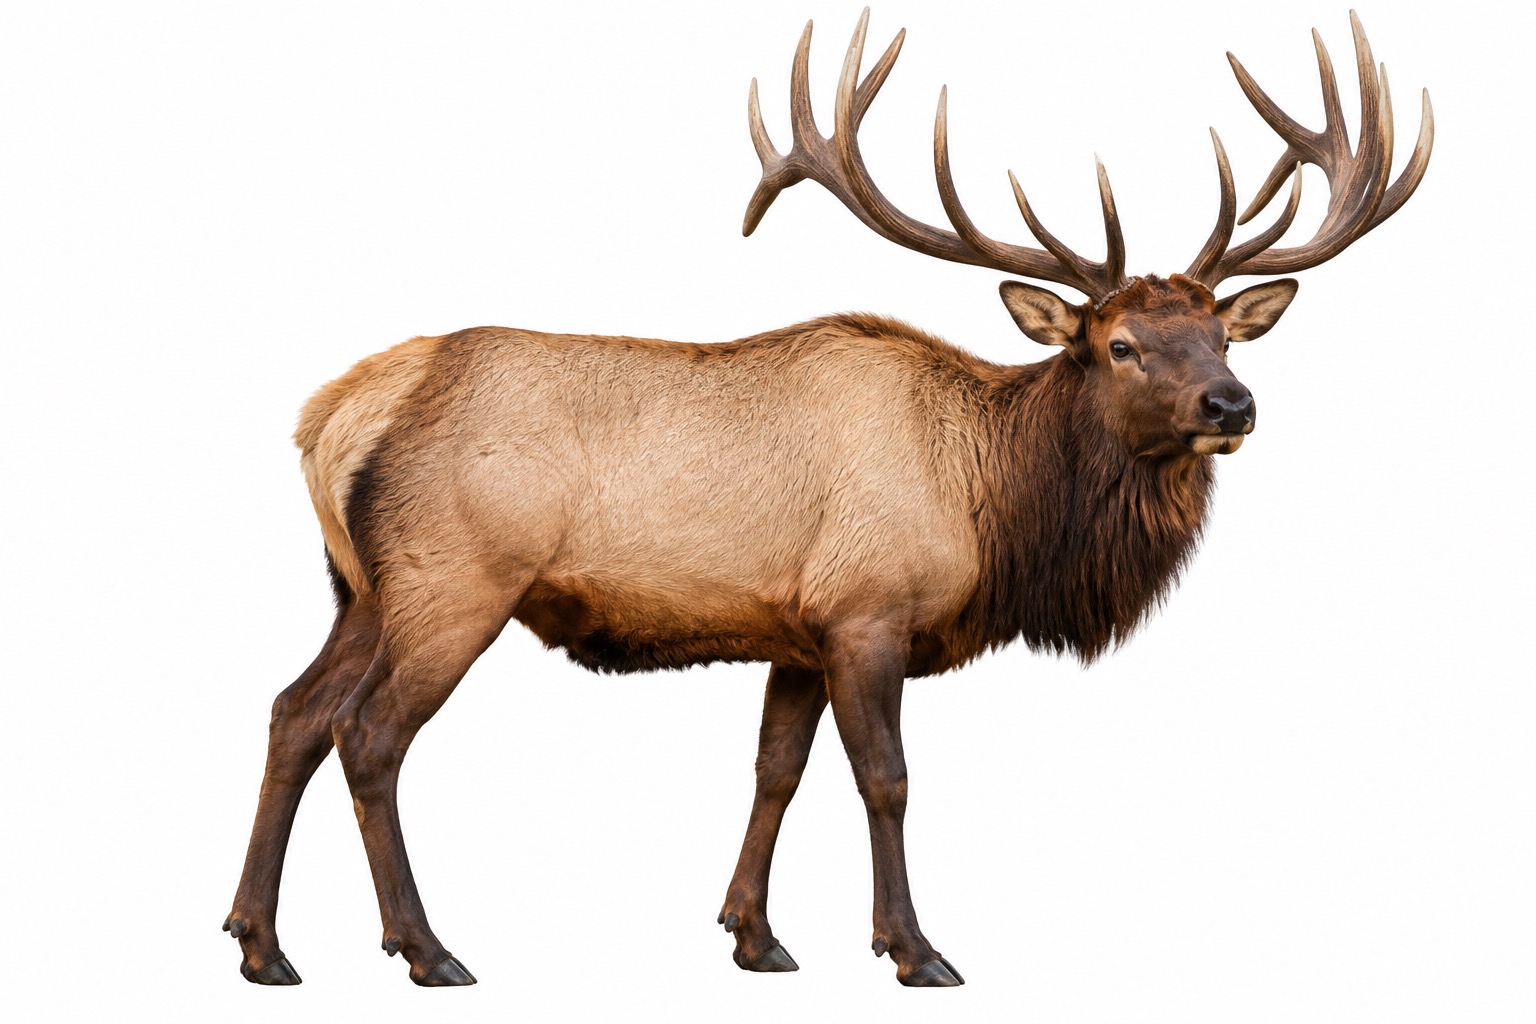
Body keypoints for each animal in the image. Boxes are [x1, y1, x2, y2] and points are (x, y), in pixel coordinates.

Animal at [225, 8, 1432, 988]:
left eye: (1224, 334)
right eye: (1121, 344)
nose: (1232, 403)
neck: (997, 512)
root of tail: (335, 412)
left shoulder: (793, 634)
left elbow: (776, 773)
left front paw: (755, 936)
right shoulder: (866, 611)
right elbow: (885, 779)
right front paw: (914, 947)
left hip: (359, 586)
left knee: (293, 711)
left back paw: (261, 942)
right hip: (455, 578)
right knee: (369, 732)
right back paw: (425, 948)